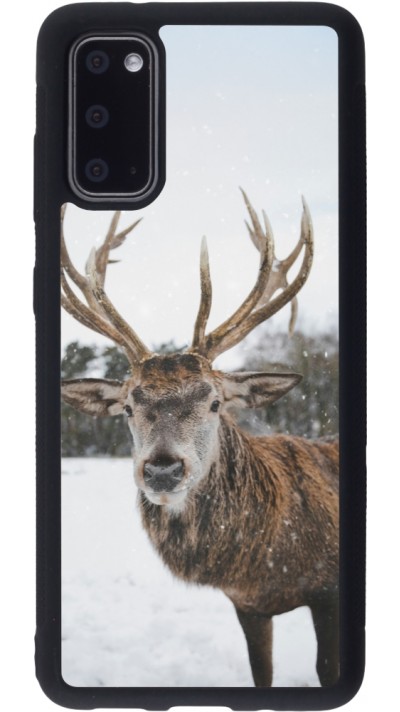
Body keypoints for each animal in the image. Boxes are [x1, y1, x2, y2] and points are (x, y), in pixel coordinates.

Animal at [61, 191, 339, 687]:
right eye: (128, 407)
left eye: (214, 401)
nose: (162, 469)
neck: (267, 563)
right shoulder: (248, 605)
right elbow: (261, 672)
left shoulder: (329, 590)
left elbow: (328, 669)